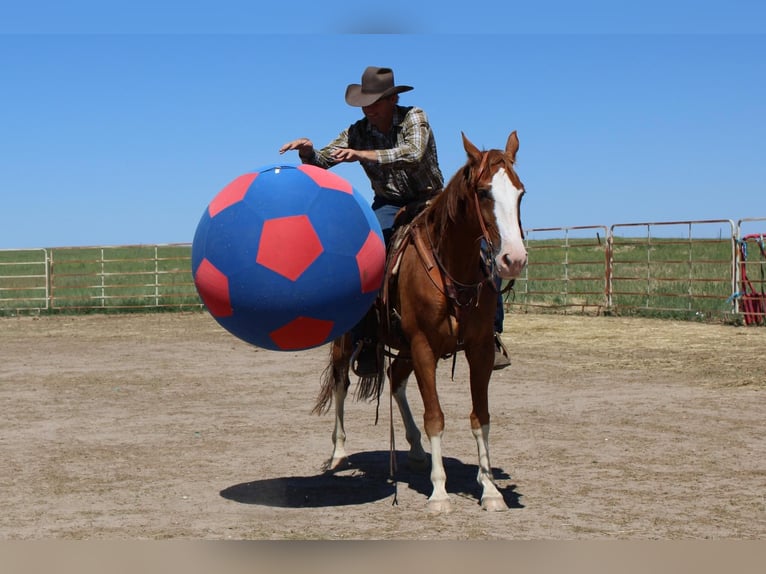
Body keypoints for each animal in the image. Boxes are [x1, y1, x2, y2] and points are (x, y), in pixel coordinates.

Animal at [312, 130, 528, 512]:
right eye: (483, 192)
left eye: (520, 192)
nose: (513, 259)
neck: (452, 269)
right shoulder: (425, 347)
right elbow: (435, 417)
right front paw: (439, 493)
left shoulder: (479, 350)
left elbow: (481, 417)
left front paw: (490, 489)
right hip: (348, 342)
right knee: (341, 383)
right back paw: (338, 452)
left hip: (405, 348)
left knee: (395, 378)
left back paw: (414, 449)